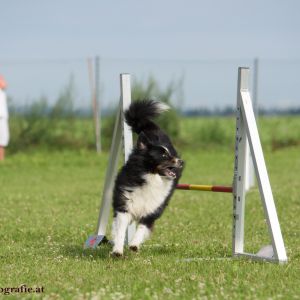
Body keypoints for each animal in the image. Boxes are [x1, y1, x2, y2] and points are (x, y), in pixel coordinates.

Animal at [112, 100, 184, 255]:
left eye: (170, 154)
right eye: (163, 155)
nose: (181, 162)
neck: (150, 177)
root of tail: (151, 129)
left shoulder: (153, 209)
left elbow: (142, 227)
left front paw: (134, 244)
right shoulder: (124, 204)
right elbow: (120, 229)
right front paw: (118, 250)